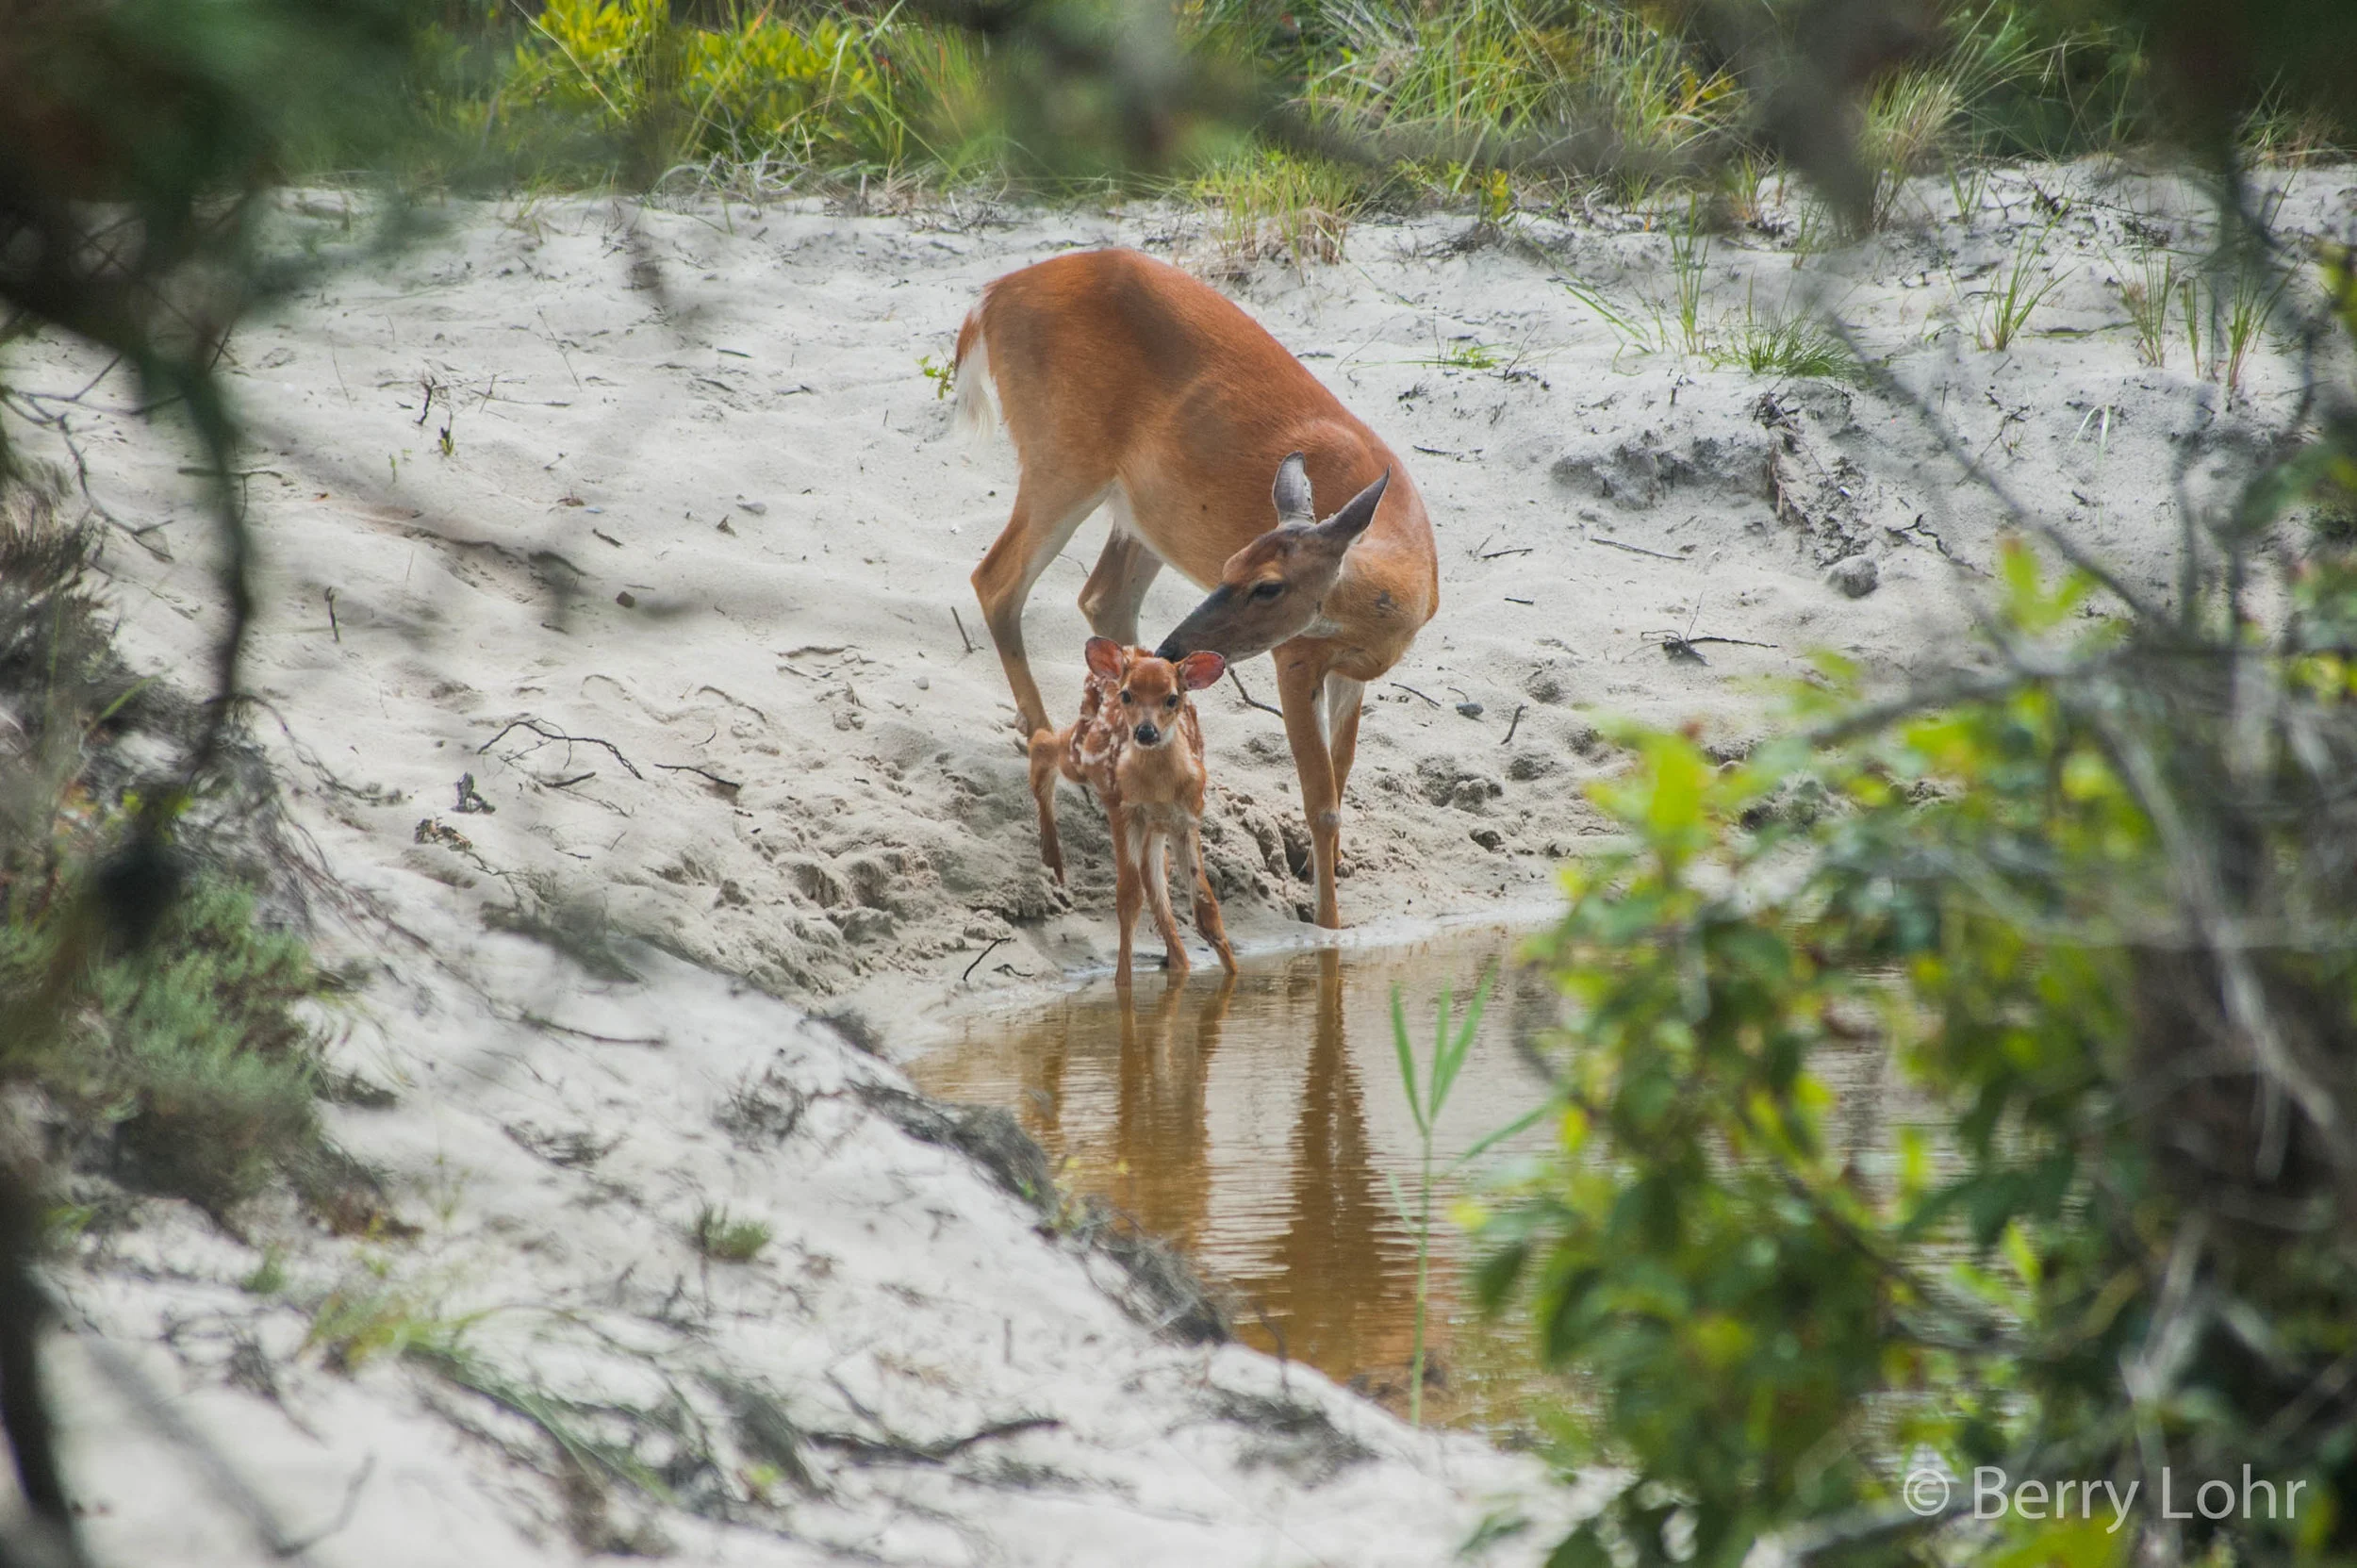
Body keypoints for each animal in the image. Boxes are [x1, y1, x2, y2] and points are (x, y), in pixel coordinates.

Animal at [954, 247, 1439, 930]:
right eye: (1229, 564)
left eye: (1266, 585)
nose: (1179, 643)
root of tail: (992, 296)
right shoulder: (1296, 657)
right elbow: (1321, 798)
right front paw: (1327, 921)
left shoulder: (1351, 670)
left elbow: (1343, 771)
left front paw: (1328, 870)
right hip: (1062, 452)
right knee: (997, 580)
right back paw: (1060, 746)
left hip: (1143, 511)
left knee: (1101, 597)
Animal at [1028, 636, 1235, 985]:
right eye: (1127, 695)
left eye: (1172, 698)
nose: (1145, 731)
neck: (1160, 790)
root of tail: (1128, 650)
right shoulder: (1123, 809)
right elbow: (1128, 897)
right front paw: (1121, 984)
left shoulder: (1187, 819)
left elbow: (1206, 907)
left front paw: (1233, 974)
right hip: (1083, 754)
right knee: (1041, 741)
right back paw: (1052, 859)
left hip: (1153, 828)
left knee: (1156, 881)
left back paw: (1181, 964)